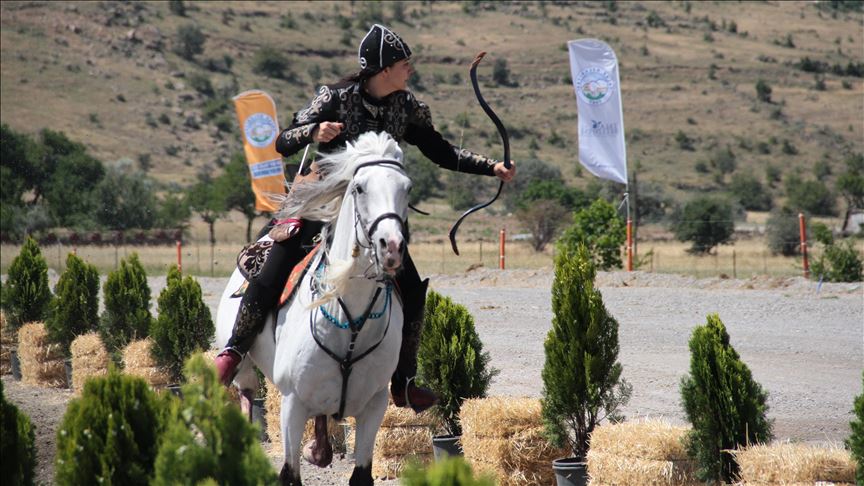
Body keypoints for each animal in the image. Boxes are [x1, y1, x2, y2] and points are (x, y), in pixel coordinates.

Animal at [213, 133, 408, 486]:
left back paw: (318, 449)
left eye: (407, 188)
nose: (392, 247)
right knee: (246, 395)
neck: (351, 322)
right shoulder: (292, 404)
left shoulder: (374, 407)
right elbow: (289, 473)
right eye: (359, 187)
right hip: (244, 368)